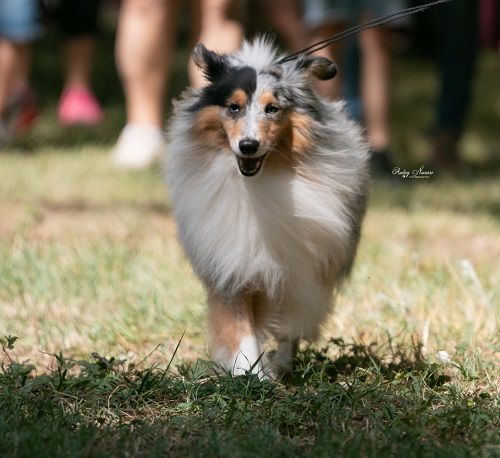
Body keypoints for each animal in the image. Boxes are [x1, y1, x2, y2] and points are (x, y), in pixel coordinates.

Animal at [166, 38, 370, 376]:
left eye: (272, 108)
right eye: (233, 107)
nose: (248, 146)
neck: (256, 182)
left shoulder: (301, 270)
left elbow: (291, 321)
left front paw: (271, 366)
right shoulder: (230, 264)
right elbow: (240, 327)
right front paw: (248, 374)